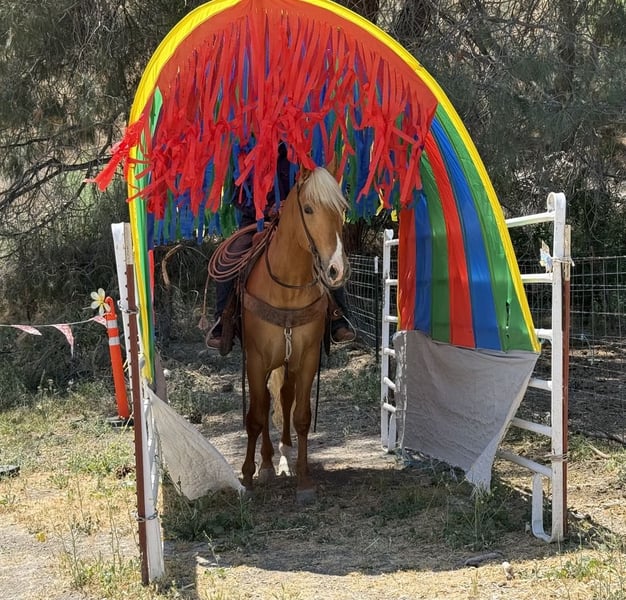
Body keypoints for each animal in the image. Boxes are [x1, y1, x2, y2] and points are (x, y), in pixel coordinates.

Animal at [241, 165, 350, 503]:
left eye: (342, 209)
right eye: (309, 209)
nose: (337, 269)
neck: (287, 287)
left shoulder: (308, 357)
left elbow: (301, 416)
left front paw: (303, 480)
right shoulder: (256, 359)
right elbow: (256, 416)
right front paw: (247, 478)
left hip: (288, 362)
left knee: (285, 398)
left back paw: (284, 457)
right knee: (265, 405)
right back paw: (265, 464)